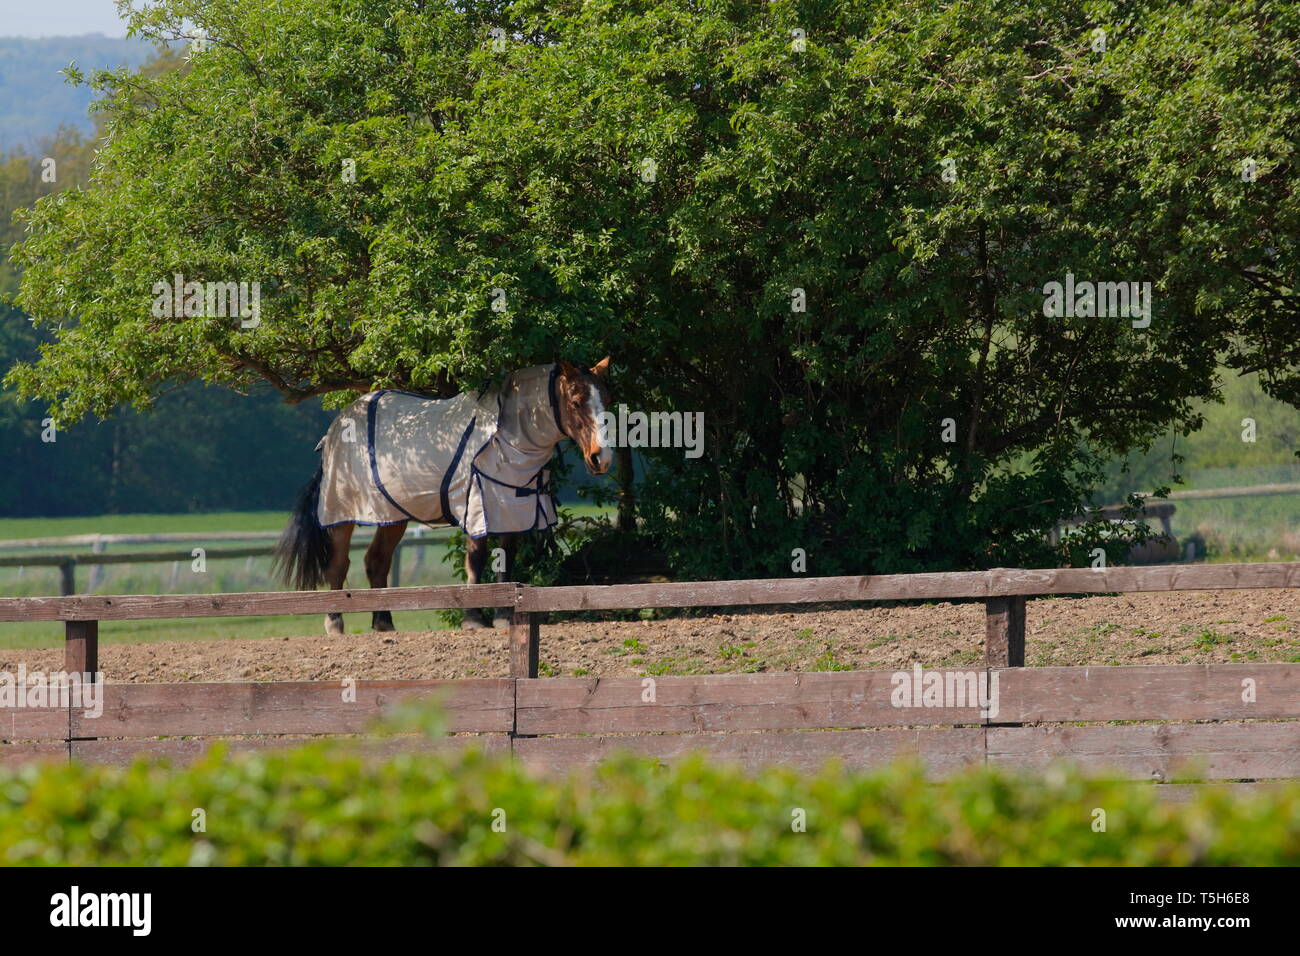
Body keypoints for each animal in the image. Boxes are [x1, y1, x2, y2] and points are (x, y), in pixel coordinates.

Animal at [274, 358, 612, 633]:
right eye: (576, 401)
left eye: (607, 400)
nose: (601, 458)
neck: (505, 438)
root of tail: (334, 431)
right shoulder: (477, 507)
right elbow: (476, 561)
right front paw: (473, 618)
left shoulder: (512, 509)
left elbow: (505, 561)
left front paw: (503, 616)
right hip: (341, 513)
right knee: (338, 563)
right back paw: (335, 622)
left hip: (392, 516)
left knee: (376, 561)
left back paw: (383, 622)